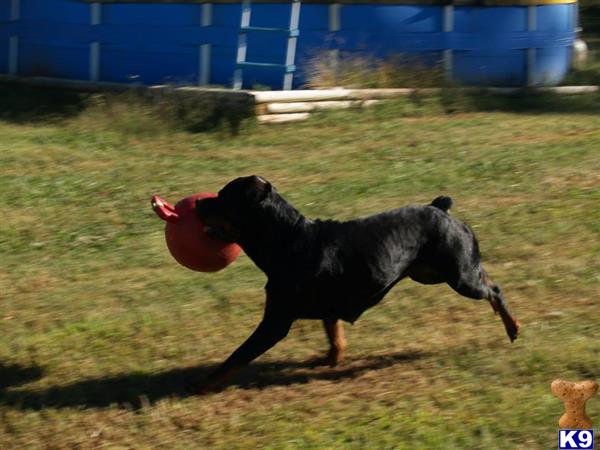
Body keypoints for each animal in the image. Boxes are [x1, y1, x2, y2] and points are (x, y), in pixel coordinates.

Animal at [193, 174, 520, 392]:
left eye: (222, 197)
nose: (196, 203)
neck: (288, 239)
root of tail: (441, 208)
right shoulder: (327, 308)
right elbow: (335, 336)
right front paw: (331, 359)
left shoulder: (275, 322)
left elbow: (238, 355)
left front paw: (204, 383)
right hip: (430, 274)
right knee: (486, 278)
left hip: (458, 277)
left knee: (494, 290)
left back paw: (513, 327)